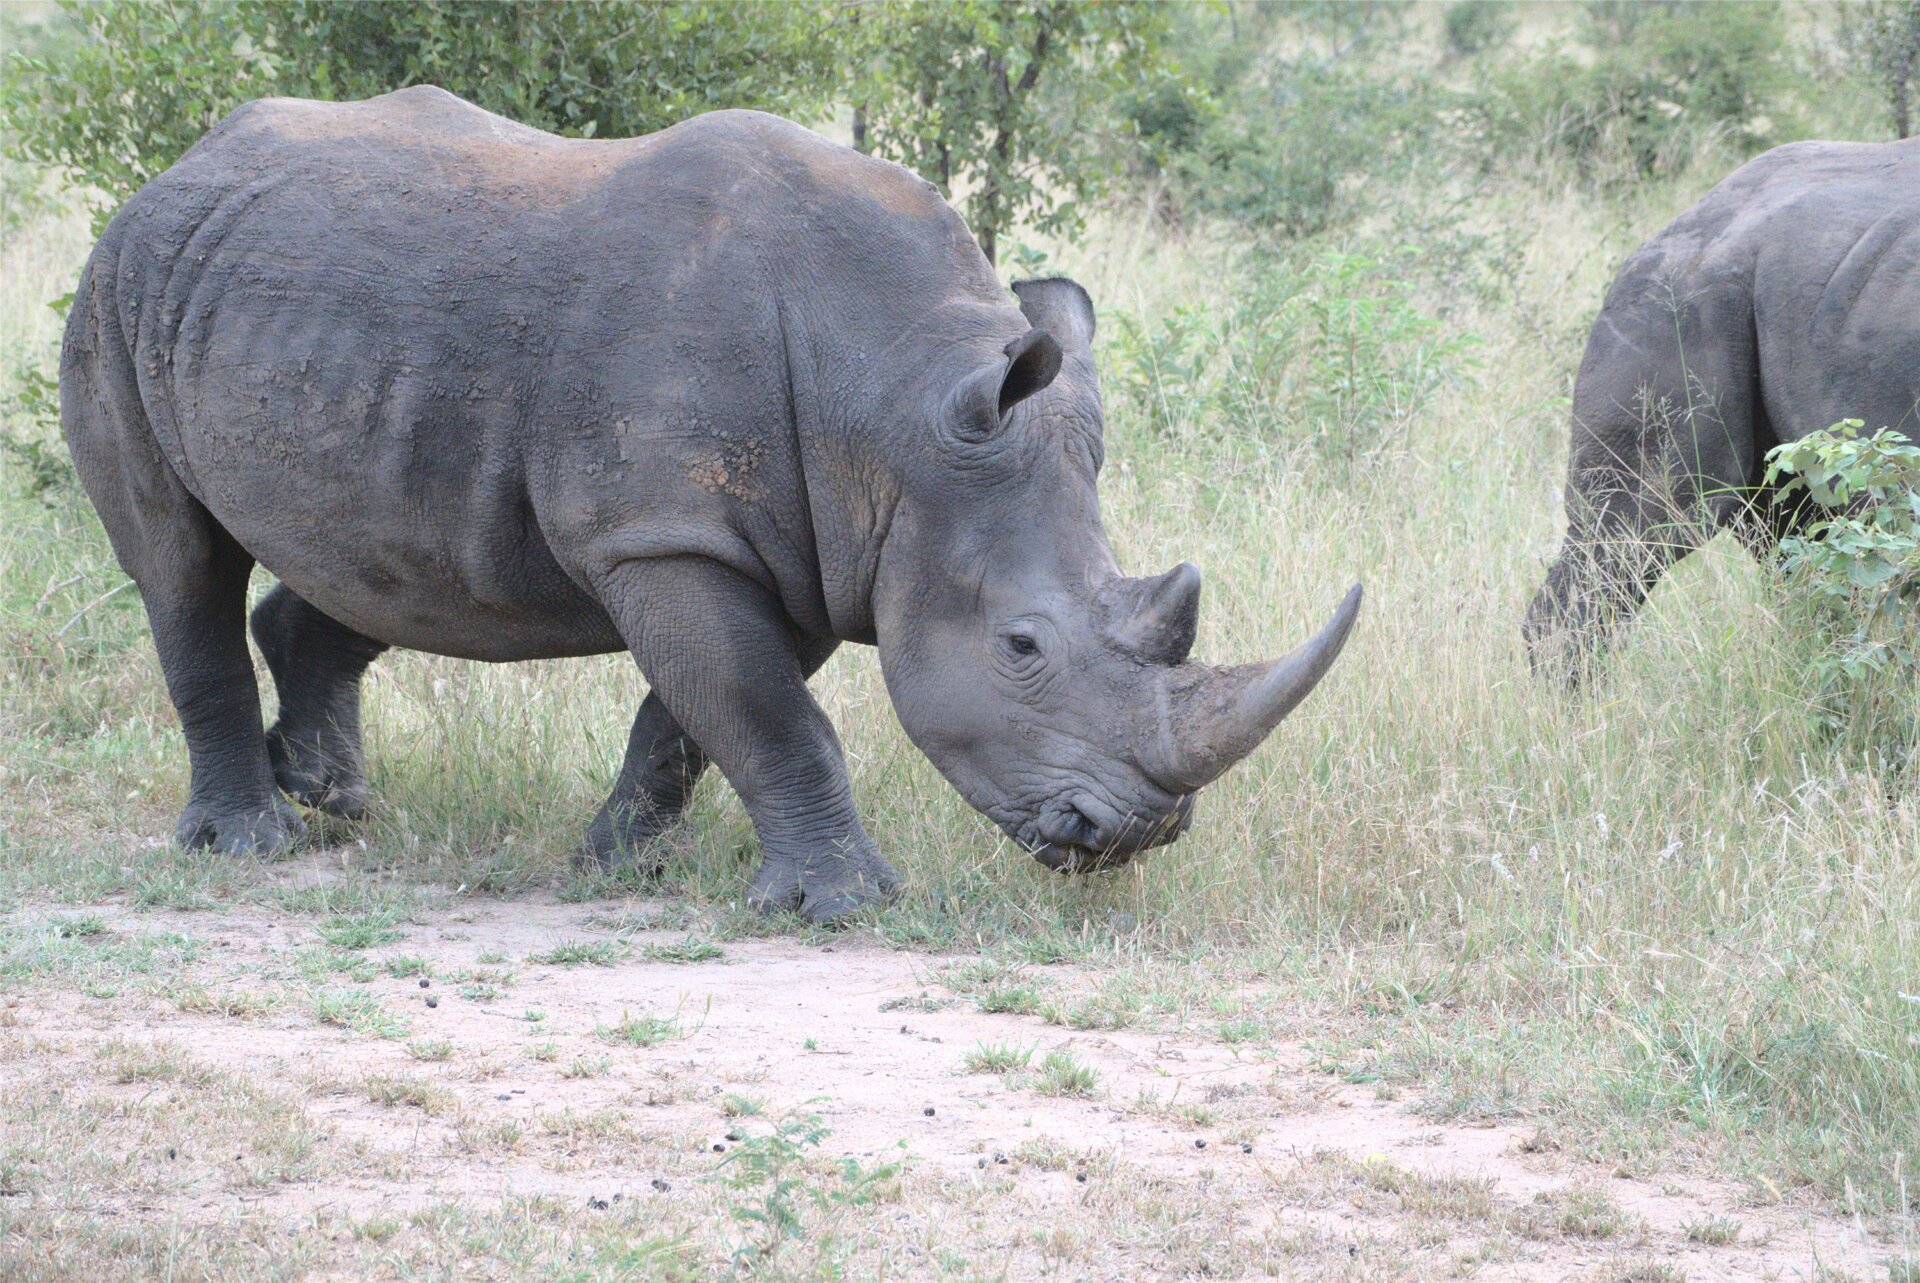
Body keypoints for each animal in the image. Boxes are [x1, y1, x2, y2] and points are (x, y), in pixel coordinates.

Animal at [62, 87, 1361, 922]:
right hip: (116, 287)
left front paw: (613, 866)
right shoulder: (670, 538)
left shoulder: (805, 544)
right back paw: (251, 840)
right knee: (179, 562)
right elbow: (771, 715)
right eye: (1022, 646)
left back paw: (334, 796)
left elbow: (696, 718)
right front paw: (843, 906)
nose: (1131, 834)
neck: (893, 400)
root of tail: (173, 174)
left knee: (381, 551)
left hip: (329, 321)